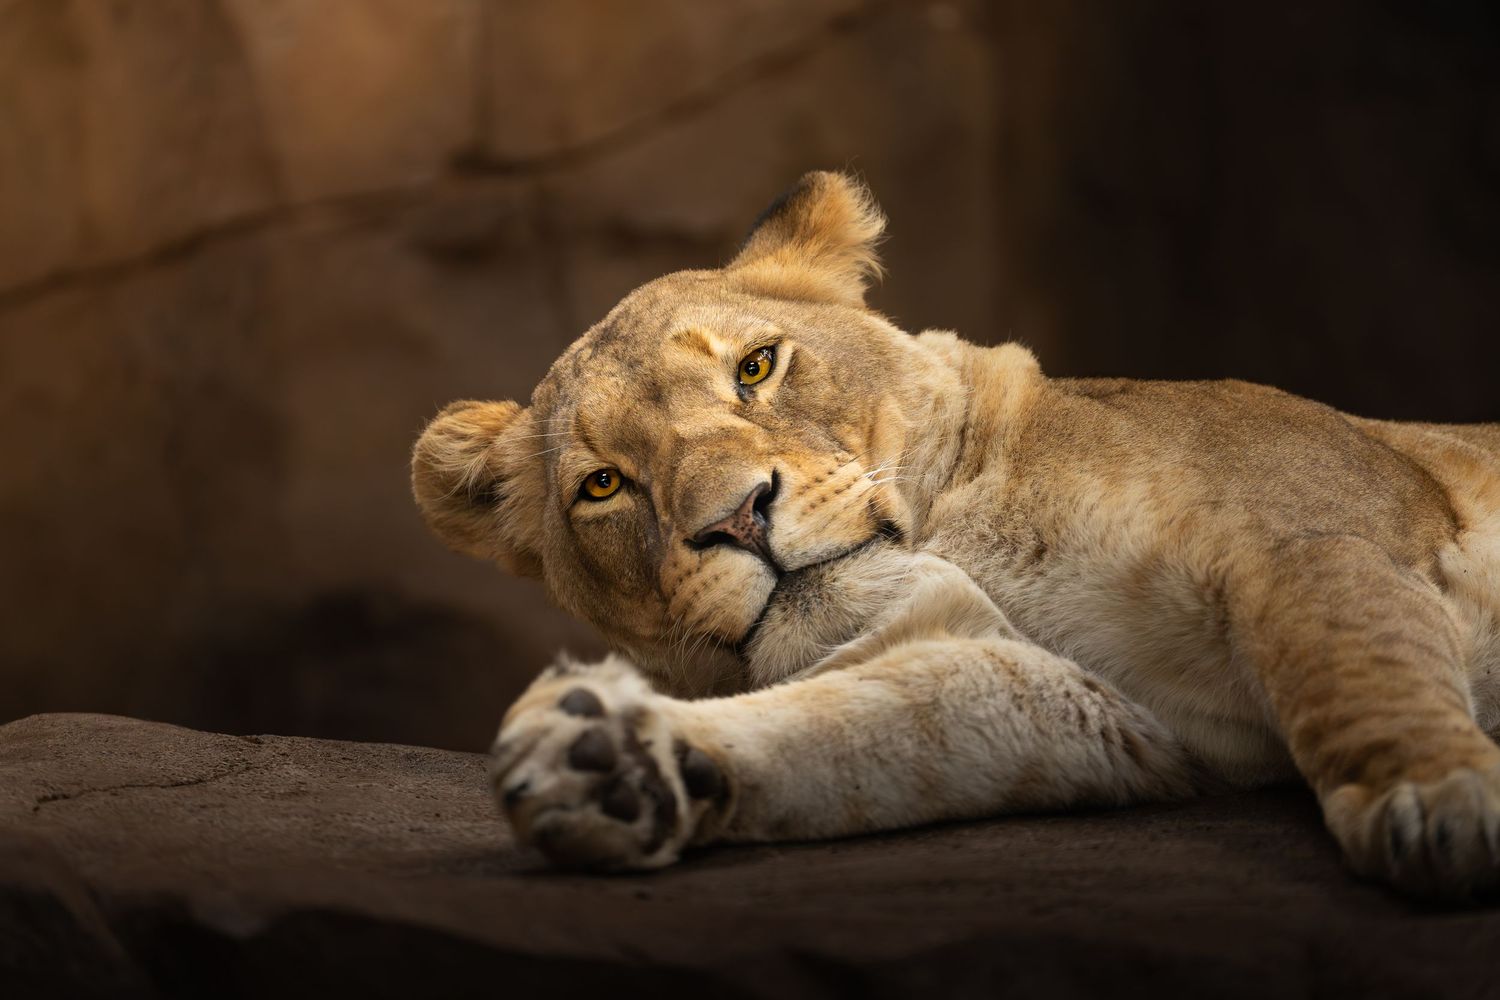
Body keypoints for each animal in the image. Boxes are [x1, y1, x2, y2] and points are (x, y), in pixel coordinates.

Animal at [412, 171, 1500, 897]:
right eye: (603, 484)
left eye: (757, 366)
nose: (737, 516)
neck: (974, 538)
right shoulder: (1096, 710)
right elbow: (869, 728)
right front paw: (615, 765)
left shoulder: (1308, 532)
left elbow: (1355, 657)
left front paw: (1436, 799)